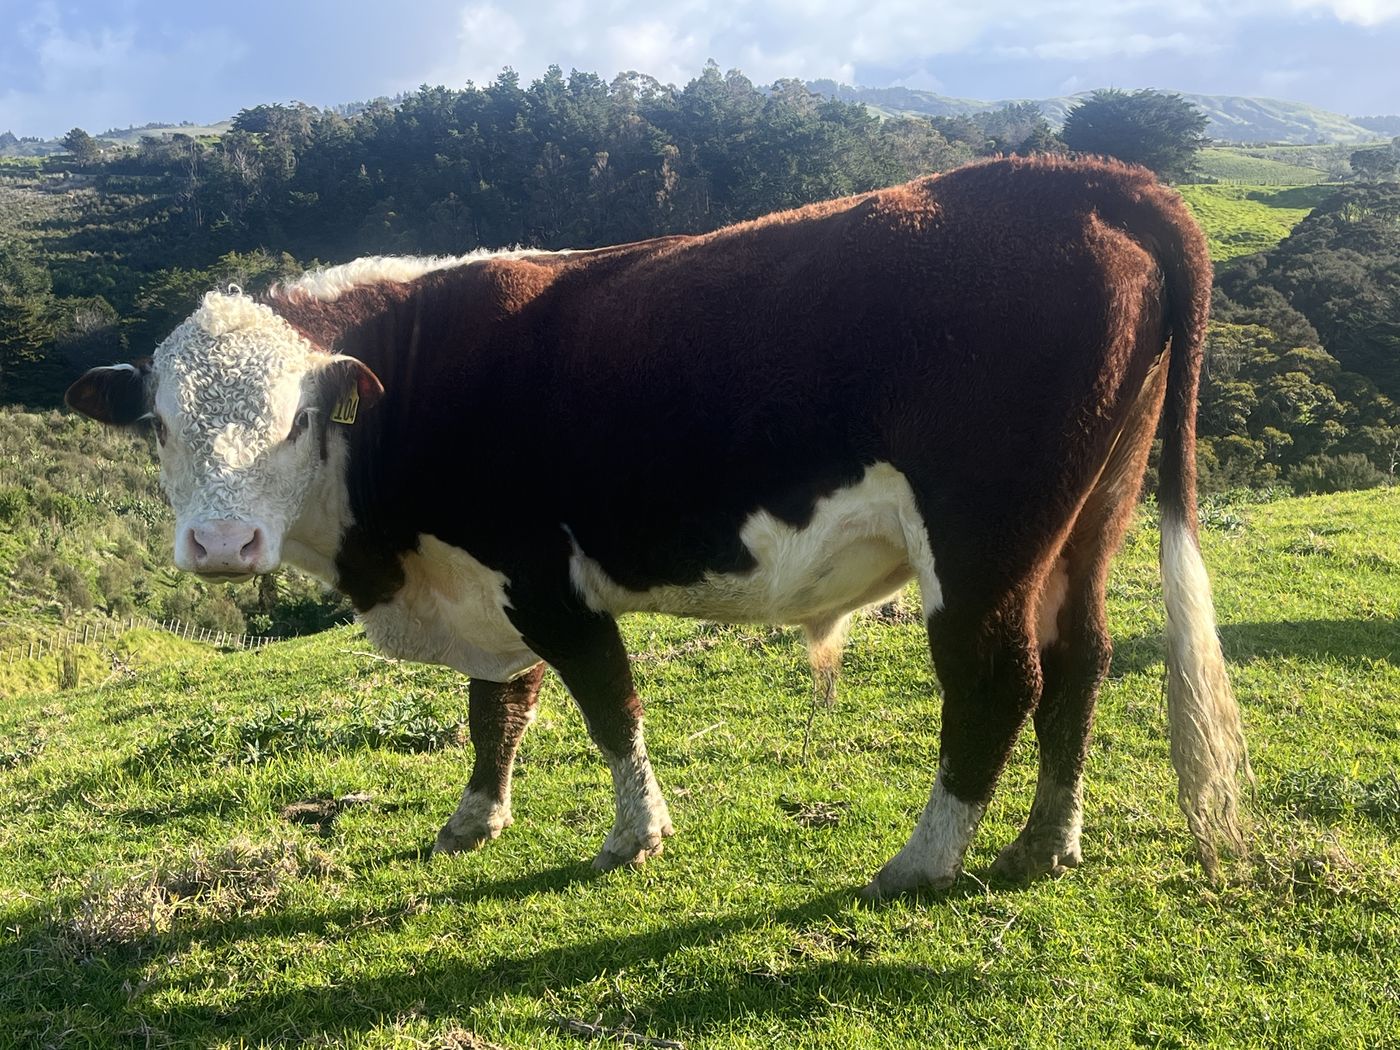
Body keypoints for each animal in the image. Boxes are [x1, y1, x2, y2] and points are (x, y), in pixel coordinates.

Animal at [66, 155, 1250, 898]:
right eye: (160, 423)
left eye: (299, 419)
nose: (223, 549)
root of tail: (1080, 174)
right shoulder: (479, 588)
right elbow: (496, 708)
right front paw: (475, 819)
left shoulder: (542, 575)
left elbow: (605, 703)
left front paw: (635, 836)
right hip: (1086, 517)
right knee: (1082, 656)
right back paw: (1044, 843)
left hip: (983, 538)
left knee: (998, 677)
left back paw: (924, 861)